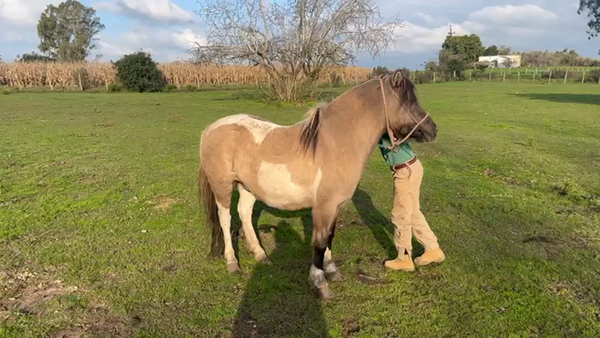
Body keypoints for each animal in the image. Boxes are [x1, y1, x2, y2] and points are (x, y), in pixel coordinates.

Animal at [199, 68, 438, 298]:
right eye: (409, 101)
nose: (432, 129)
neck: (336, 142)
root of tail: (211, 128)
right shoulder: (323, 207)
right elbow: (319, 244)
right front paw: (319, 283)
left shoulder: (335, 206)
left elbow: (330, 238)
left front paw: (332, 271)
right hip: (222, 187)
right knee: (226, 220)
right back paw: (232, 263)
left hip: (247, 187)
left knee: (245, 213)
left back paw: (260, 255)